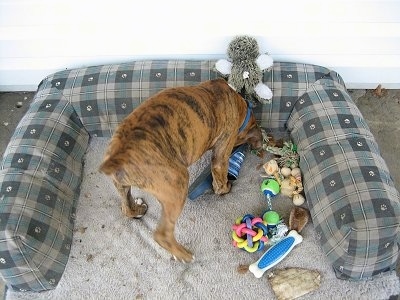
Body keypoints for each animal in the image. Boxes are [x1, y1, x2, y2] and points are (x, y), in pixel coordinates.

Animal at [100, 78, 262, 262]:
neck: (239, 106)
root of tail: (118, 155)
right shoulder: (221, 157)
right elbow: (220, 181)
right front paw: (226, 188)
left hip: (122, 185)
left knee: (126, 208)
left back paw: (138, 209)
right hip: (178, 183)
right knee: (163, 234)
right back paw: (184, 255)